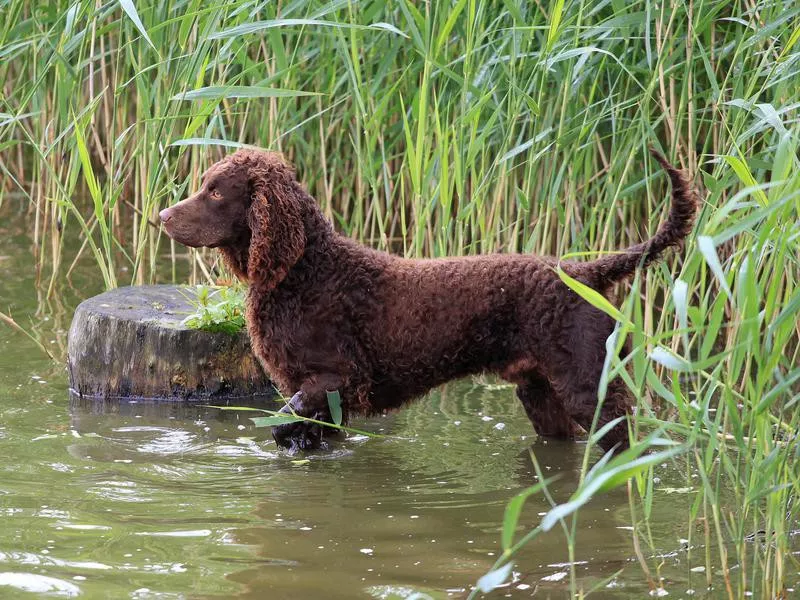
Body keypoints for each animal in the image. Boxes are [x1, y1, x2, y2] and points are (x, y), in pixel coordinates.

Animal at [159, 148, 696, 452]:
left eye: (215, 192)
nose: (162, 215)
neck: (305, 270)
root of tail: (584, 271)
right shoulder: (323, 397)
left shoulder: (337, 378)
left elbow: (283, 422)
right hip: (541, 395)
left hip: (590, 389)